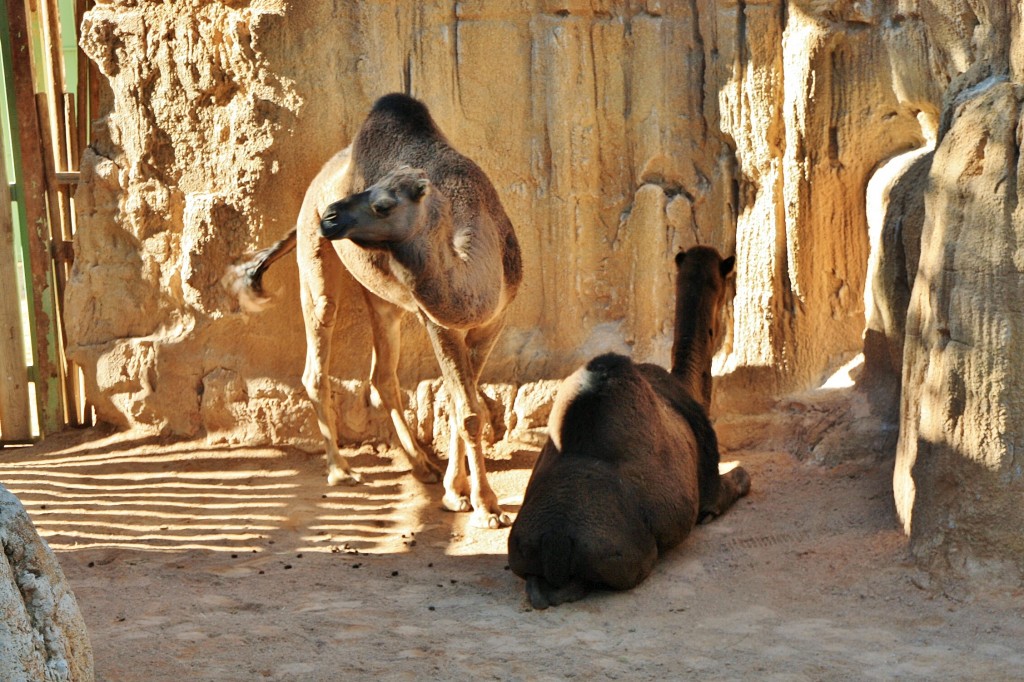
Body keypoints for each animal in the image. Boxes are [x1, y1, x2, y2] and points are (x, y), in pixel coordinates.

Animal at [505, 246, 753, 606]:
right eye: (725, 282)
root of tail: (555, 540)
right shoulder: (709, 479)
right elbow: (736, 482)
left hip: (522, 549)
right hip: (628, 556)